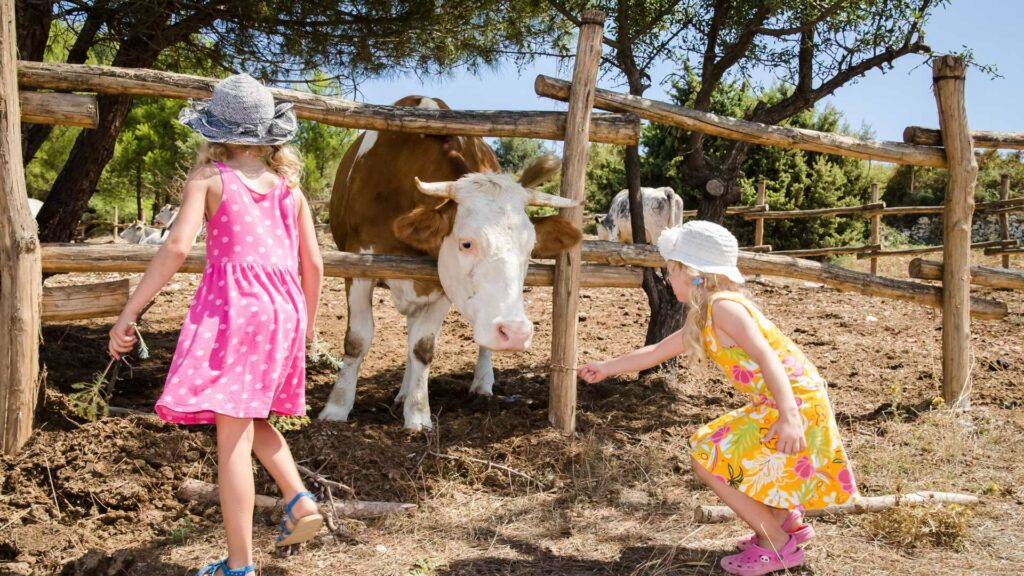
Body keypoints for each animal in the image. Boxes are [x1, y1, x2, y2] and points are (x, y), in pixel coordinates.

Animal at [315, 94, 581, 428]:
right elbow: (357, 339)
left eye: (530, 248)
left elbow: (422, 346)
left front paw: (418, 414)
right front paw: (337, 408)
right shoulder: (358, 264)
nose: (516, 334)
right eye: (466, 243)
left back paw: (480, 383)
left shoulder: (441, 282)